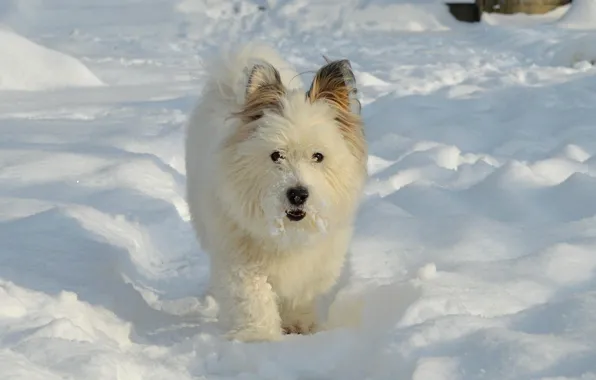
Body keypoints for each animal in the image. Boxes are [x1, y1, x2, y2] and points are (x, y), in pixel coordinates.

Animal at [184, 43, 368, 342]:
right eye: (276, 155)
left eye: (318, 156)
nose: (298, 195)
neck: (288, 235)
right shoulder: (240, 259)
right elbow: (253, 297)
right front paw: (259, 337)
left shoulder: (317, 260)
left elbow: (303, 292)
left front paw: (299, 326)